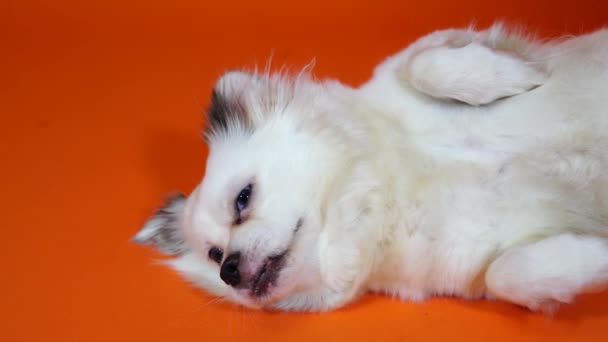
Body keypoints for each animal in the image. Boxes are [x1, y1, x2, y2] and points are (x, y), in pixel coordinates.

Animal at [135, 22, 608, 314]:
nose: (228, 271)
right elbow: (507, 274)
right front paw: (596, 255)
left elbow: (424, 62)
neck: (384, 185)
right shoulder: (479, 265)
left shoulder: (426, 52)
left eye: (243, 199)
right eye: (213, 256)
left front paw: (509, 75)